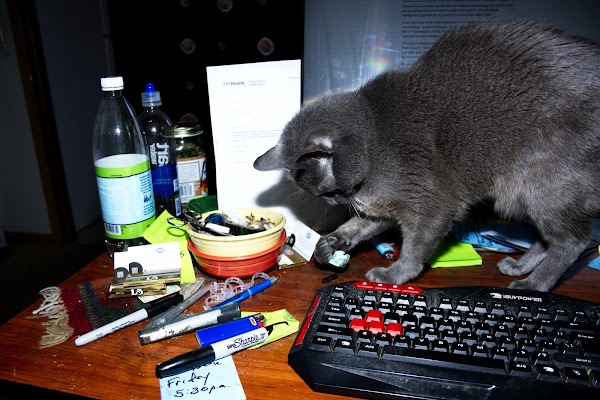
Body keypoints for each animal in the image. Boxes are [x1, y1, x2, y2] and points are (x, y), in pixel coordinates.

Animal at [253, 19, 600, 292]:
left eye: (330, 190)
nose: (335, 201)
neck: (375, 142)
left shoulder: (430, 203)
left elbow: (414, 247)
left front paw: (395, 275)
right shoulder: (380, 208)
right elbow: (358, 226)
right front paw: (329, 243)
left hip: (544, 182)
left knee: (573, 241)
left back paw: (534, 284)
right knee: (546, 238)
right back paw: (519, 266)